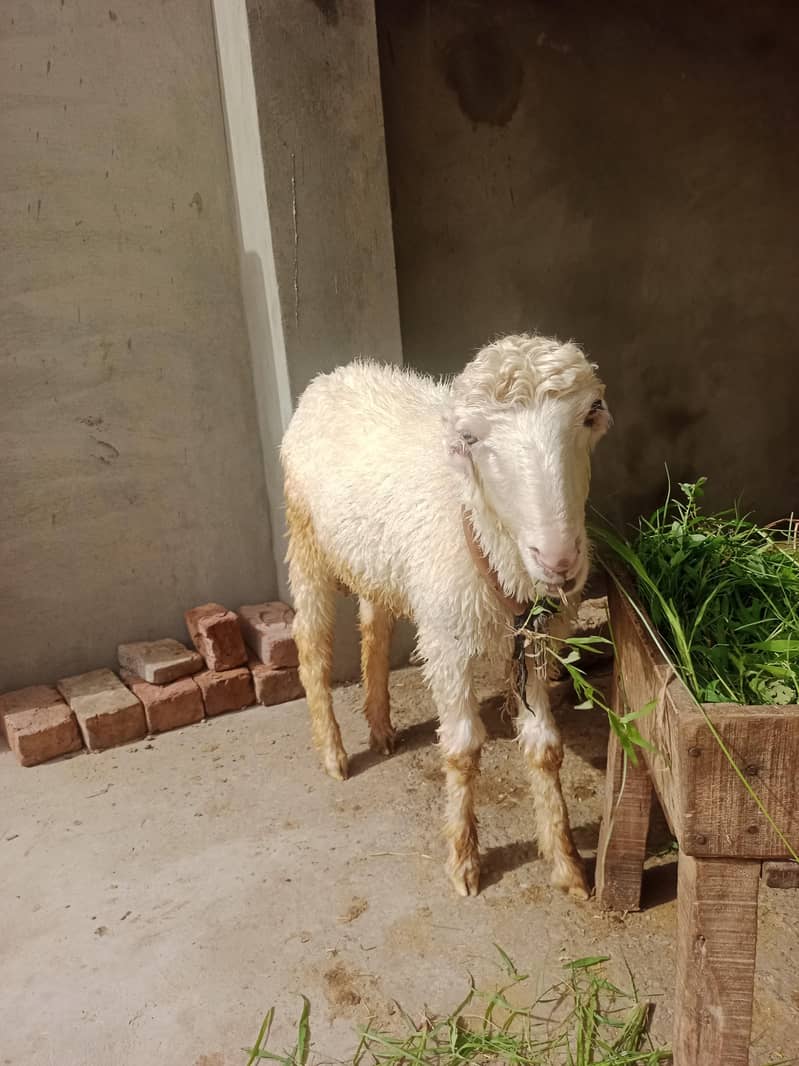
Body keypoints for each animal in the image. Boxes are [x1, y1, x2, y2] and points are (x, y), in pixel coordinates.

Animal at [280, 334, 611, 898]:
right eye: (470, 438)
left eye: (590, 414)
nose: (559, 560)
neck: (478, 530)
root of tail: (333, 375)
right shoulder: (447, 641)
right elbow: (461, 750)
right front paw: (463, 861)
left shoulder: (534, 641)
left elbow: (544, 747)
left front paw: (567, 865)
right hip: (305, 538)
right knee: (311, 644)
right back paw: (333, 752)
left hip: (381, 562)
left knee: (374, 626)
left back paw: (381, 726)